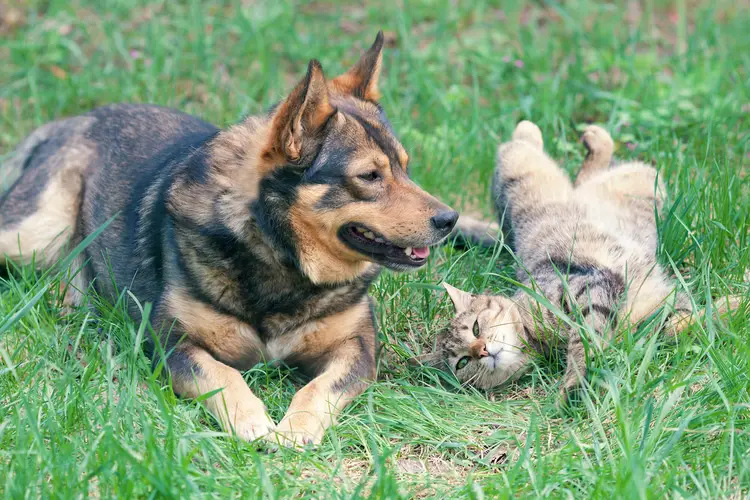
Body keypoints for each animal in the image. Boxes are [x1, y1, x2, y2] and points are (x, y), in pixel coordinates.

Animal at [0, 33, 458, 448]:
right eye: (369, 176)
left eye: (405, 167)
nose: (449, 220)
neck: (280, 257)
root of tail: (77, 119)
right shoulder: (173, 346)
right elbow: (225, 375)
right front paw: (253, 421)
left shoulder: (357, 349)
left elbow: (318, 387)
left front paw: (296, 428)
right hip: (33, 234)